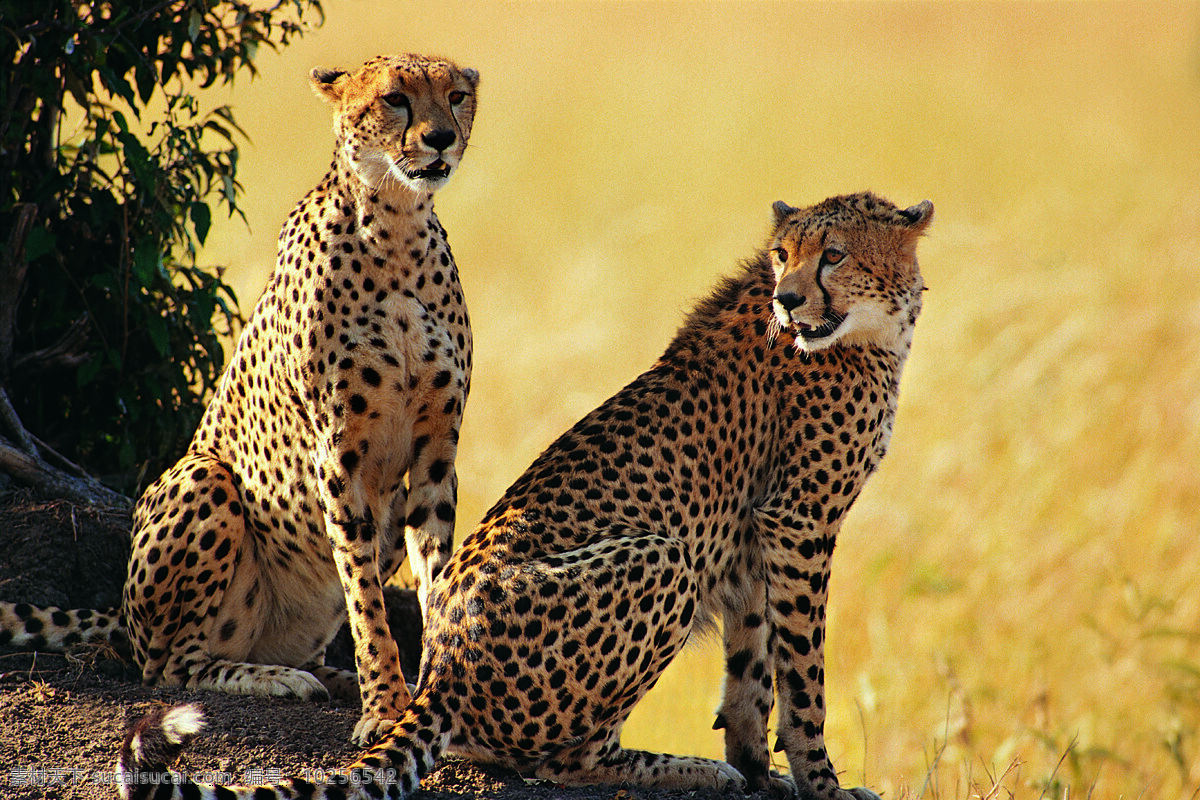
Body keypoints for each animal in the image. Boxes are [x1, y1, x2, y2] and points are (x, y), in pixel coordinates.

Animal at [0, 53, 477, 748]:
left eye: (457, 94)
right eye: (395, 98)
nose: (440, 138)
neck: (396, 225)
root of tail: (123, 617)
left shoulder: (436, 451)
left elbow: (435, 583)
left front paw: (426, 696)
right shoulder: (339, 455)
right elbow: (365, 600)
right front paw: (387, 707)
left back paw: (331, 679)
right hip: (204, 479)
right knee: (169, 667)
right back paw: (277, 679)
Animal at [117, 191, 931, 800]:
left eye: (833, 254)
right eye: (782, 255)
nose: (789, 302)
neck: (866, 327)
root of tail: (439, 672)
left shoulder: (759, 535)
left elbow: (753, 669)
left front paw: (764, 770)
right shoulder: (798, 522)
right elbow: (804, 677)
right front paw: (820, 783)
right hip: (662, 558)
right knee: (557, 760)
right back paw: (683, 769)